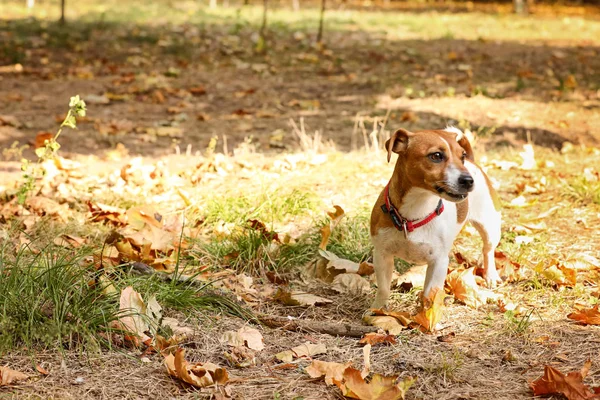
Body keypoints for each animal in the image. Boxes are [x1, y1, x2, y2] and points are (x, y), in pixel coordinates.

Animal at [370, 126, 502, 308]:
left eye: (461, 156)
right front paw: (377, 310)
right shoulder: (382, 255)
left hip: (489, 226)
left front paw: (426, 314)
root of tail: (472, 163)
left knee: (488, 250)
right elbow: (383, 289)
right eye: (436, 156)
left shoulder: (438, 262)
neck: (415, 212)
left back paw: (490, 275)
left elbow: (430, 295)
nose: (469, 180)